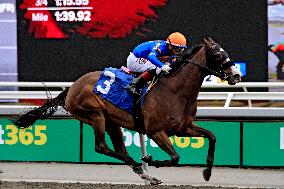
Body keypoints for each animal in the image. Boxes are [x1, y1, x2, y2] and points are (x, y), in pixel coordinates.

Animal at [12, 37, 241, 185]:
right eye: (217, 54)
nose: (236, 75)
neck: (176, 90)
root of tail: (73, 87)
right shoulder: (155, 131)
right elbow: (175, 157)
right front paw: (150, 159)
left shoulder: (183, 127)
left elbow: (212, 136)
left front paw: (207, 173)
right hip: (94, 115)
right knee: (101, 147)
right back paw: (140, 165)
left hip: (112, 122)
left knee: (119, 149)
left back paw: (145, 173)